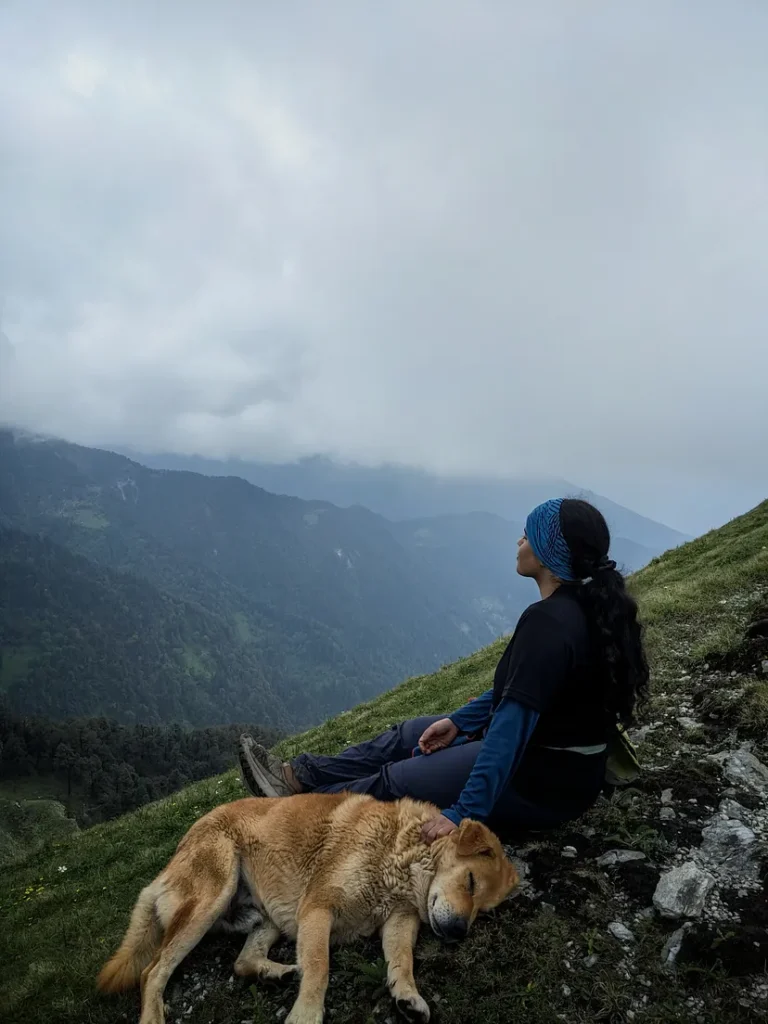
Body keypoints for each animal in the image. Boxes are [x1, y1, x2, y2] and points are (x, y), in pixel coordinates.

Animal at [96, 790, 518, 1024]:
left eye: (484, 910)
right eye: (470, 882)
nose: (458, 933)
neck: (398, 850)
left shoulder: (399, 920)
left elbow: (402, 960)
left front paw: (407, 996)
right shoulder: (317, 909)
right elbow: (319, 967)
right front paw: (305, 1015)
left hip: (267, 915)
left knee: (242, 960)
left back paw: (278, 973)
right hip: (211, 898)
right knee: (152, 971)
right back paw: (154, 1015)